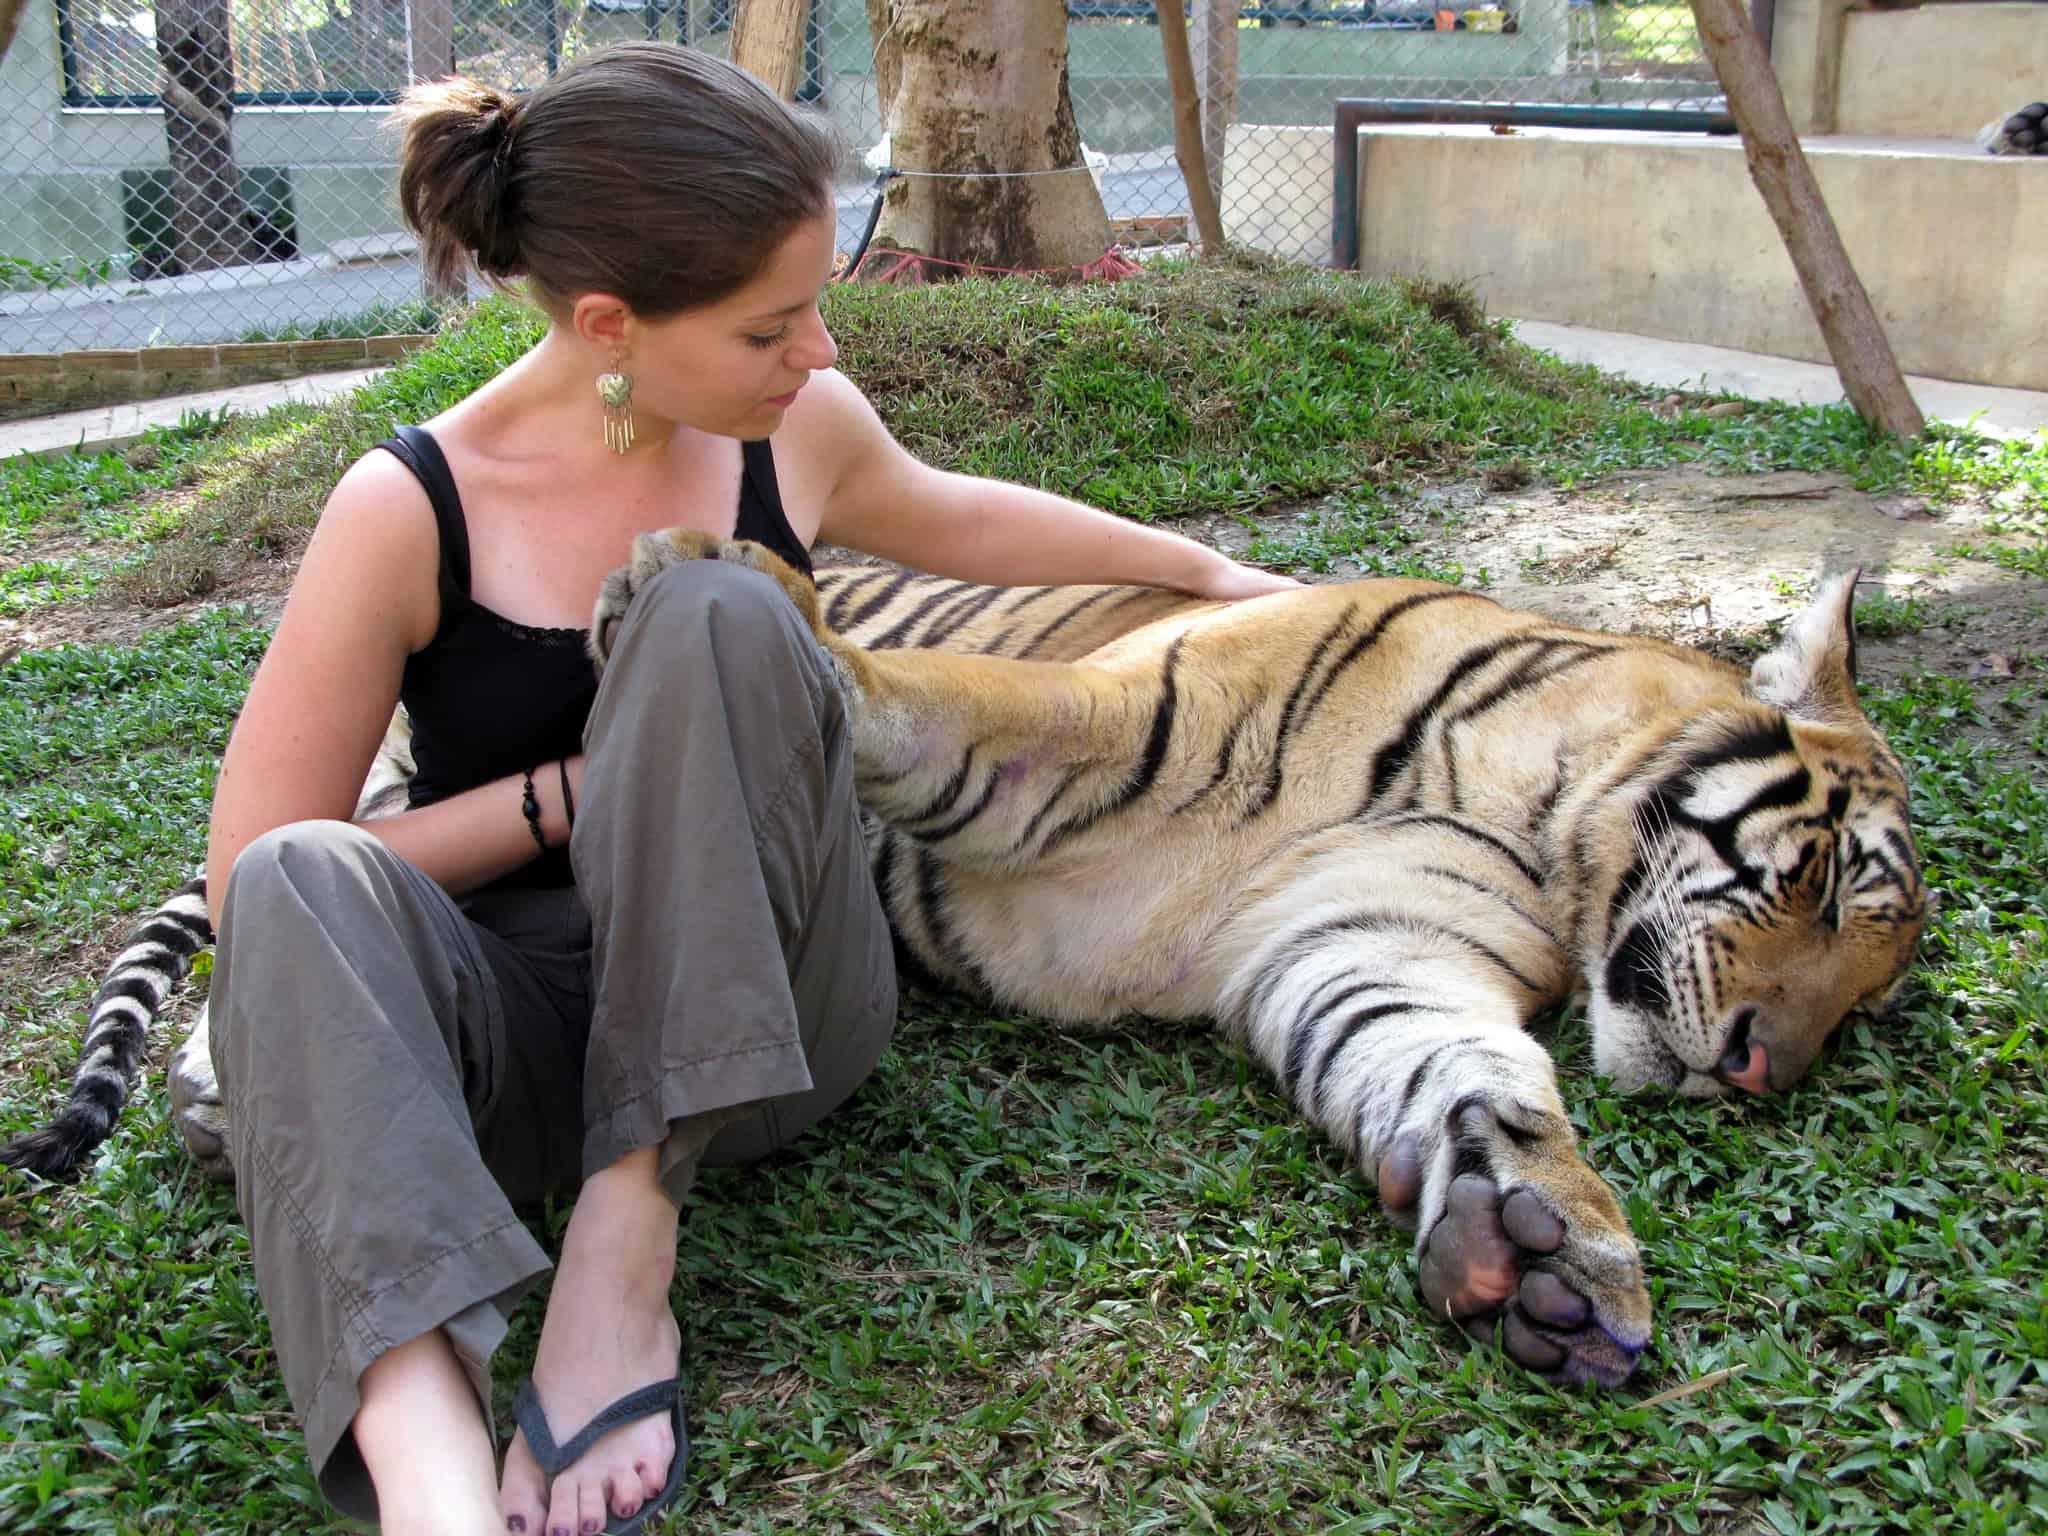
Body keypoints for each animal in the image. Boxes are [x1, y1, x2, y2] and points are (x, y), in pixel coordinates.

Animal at [4, 532, 1916, 1392]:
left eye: (1867, 991)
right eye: (1831, 886)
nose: (1760, 1067)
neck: (1546, 823)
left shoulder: (1359, 941)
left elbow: (1456, 1074)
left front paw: (1537, 1244)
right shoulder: (1116, 718)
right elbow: (915, 694)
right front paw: (696, 569)